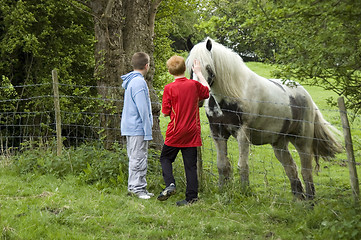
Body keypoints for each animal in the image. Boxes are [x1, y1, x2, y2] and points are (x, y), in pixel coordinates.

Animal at [187, 38, 342, 199]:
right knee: (291, 168)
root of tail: (306, 95)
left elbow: (242, 165)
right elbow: (222, 165)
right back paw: (298, 199)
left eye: (208, 67)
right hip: (279, 143)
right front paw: (223, 190)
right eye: (190, 66)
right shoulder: (218, 132)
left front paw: (244, 191)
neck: (232, 94)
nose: (198, 96)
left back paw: (310, 200)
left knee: (306, 171)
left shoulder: (243, 133)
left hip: (302, 140)